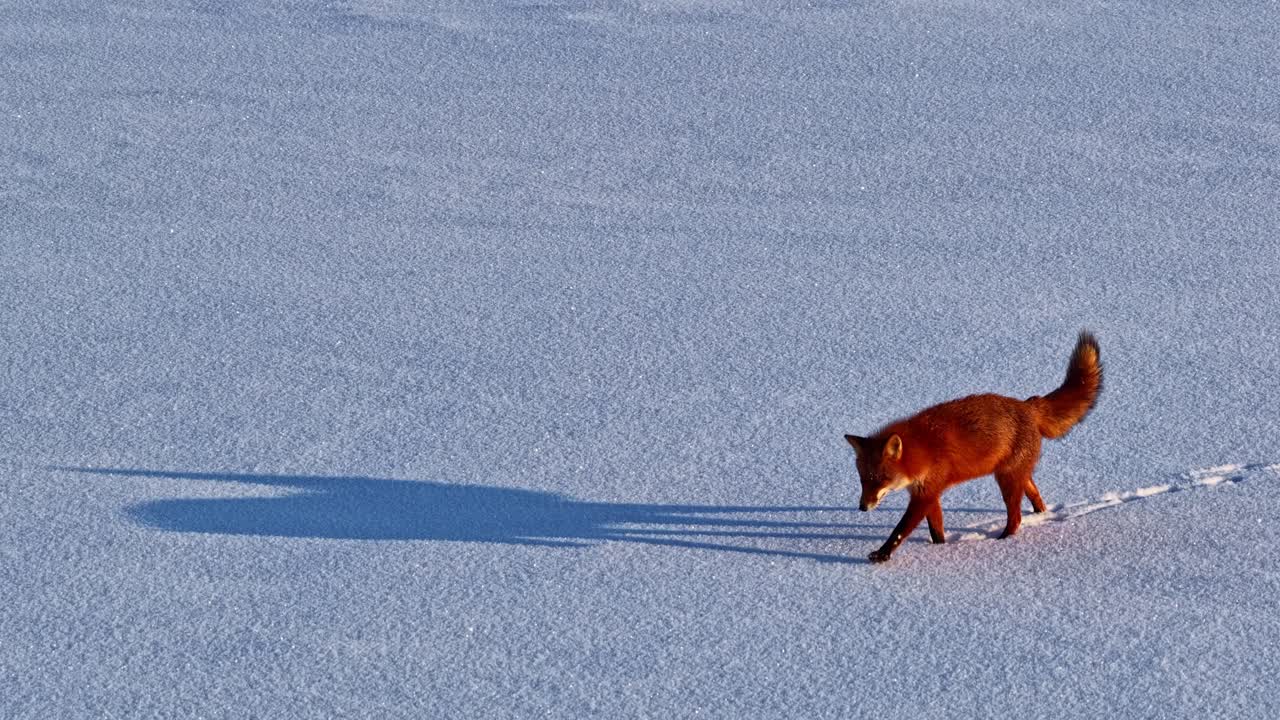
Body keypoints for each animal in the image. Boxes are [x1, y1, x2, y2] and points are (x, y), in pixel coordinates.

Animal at [845, 331, 1102, 563]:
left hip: (1007, 480)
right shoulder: (927, 493)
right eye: (863, 480)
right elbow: (936, 530)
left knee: (1016, 518)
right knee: (1036, 498)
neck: (921, 449)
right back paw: (1041, 517)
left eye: (881, 479)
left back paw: (1004, 541)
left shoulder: (926, 493)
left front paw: (882, 554)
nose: (862, 507)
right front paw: (939, 548)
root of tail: (1028, 405)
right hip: (1016, 476)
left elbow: (900, 529)